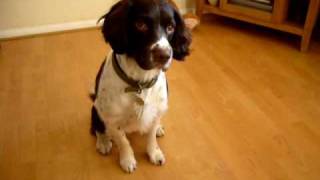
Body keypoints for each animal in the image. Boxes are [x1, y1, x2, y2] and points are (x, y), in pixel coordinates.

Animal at [89, 0, 190, 173]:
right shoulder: (112, 118)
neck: (140, 82)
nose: (164, 55)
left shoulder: (157, 110)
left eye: (171, 27)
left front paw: (154, 153)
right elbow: (123, 141)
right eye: (140, 24)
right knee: (97, 127)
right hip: (96, 109)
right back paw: (103, 142)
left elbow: (151, 137)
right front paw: (127, 160)